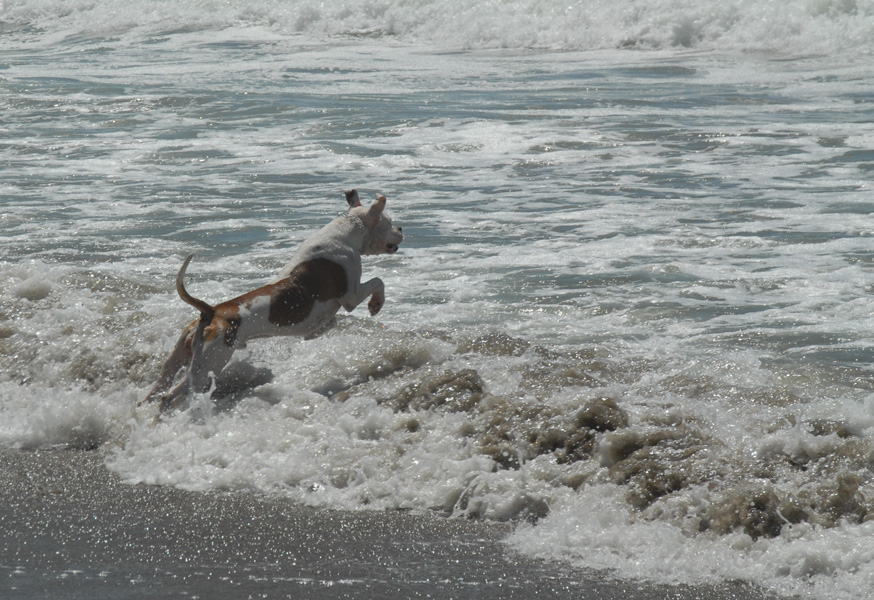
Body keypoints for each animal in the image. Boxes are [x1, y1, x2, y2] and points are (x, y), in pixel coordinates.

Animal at [140, 191, 402, 412]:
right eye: (389, 221)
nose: (401, 227)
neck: (346, 232)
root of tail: (210, 313)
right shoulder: (351, 295)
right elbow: (377, 282)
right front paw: (376, 304)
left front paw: (320, 330)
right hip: (208, 364)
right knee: (170, 395)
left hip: (176, 360)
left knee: (156, 389)